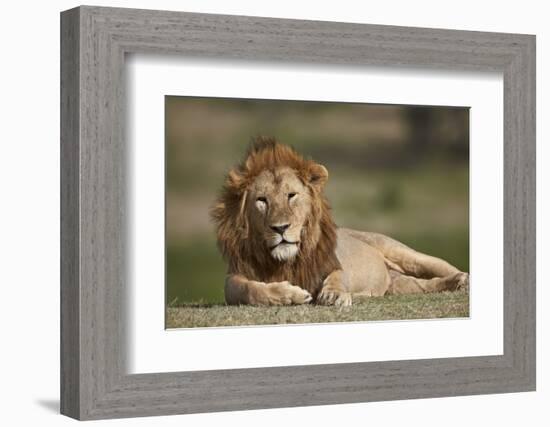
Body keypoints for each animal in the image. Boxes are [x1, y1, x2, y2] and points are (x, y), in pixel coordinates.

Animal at [211, 138, 470, 308]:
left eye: (291, 195)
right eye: (261, 201)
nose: (281, 228)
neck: (287, 261)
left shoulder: (334, 262)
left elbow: (338, 275)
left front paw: (334, 295)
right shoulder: (234, 276)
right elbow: (248, 289)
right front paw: (290, 295)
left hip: (404, 253)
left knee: (439, 267)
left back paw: (463, 279)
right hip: (397, 285)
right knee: (423, 285)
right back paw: (454, 283)